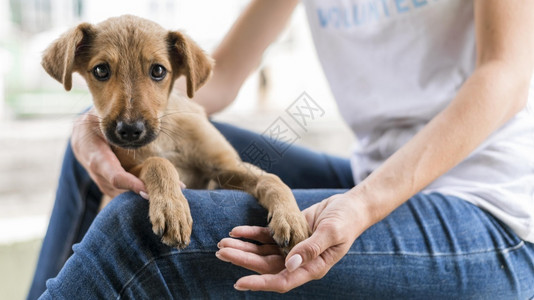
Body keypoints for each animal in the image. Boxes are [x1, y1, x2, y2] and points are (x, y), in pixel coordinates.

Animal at [42, 14, 312, 253]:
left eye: (158, 71)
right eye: (100, 71)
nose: (129, 130)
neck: (165, 137)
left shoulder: (225, 167)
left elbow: (271, 179)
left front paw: (291, 218)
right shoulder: (127, 170)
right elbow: (158, 163)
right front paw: (172, 210)